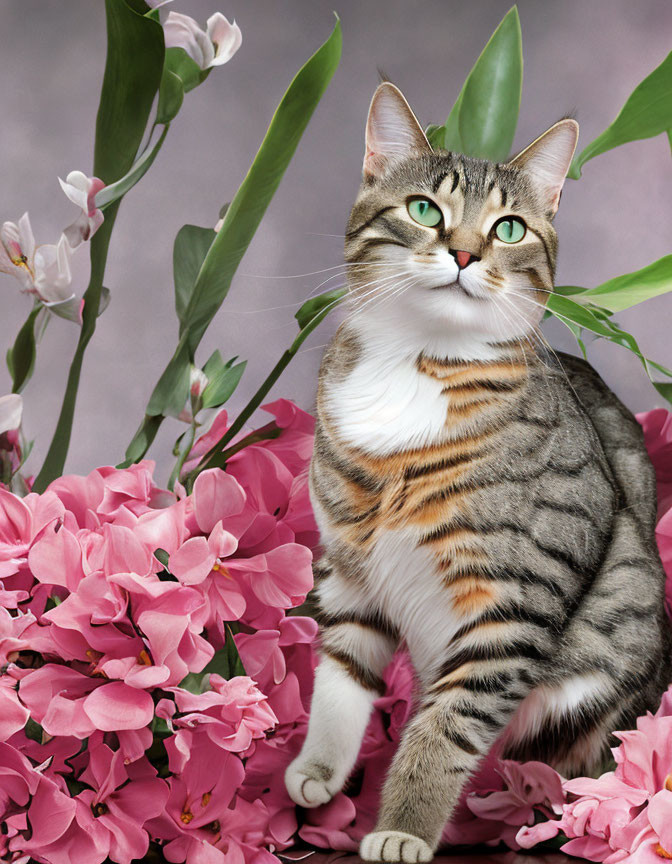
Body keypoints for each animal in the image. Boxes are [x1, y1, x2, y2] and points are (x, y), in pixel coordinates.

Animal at [284, 82, 672, 864]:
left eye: (511, 228)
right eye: (424, 209)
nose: (464, 252)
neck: (417, 363)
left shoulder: (515, 599)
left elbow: (447, 725)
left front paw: (403, 827)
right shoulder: (350, 567)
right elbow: (341, 673)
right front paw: (320, 767)